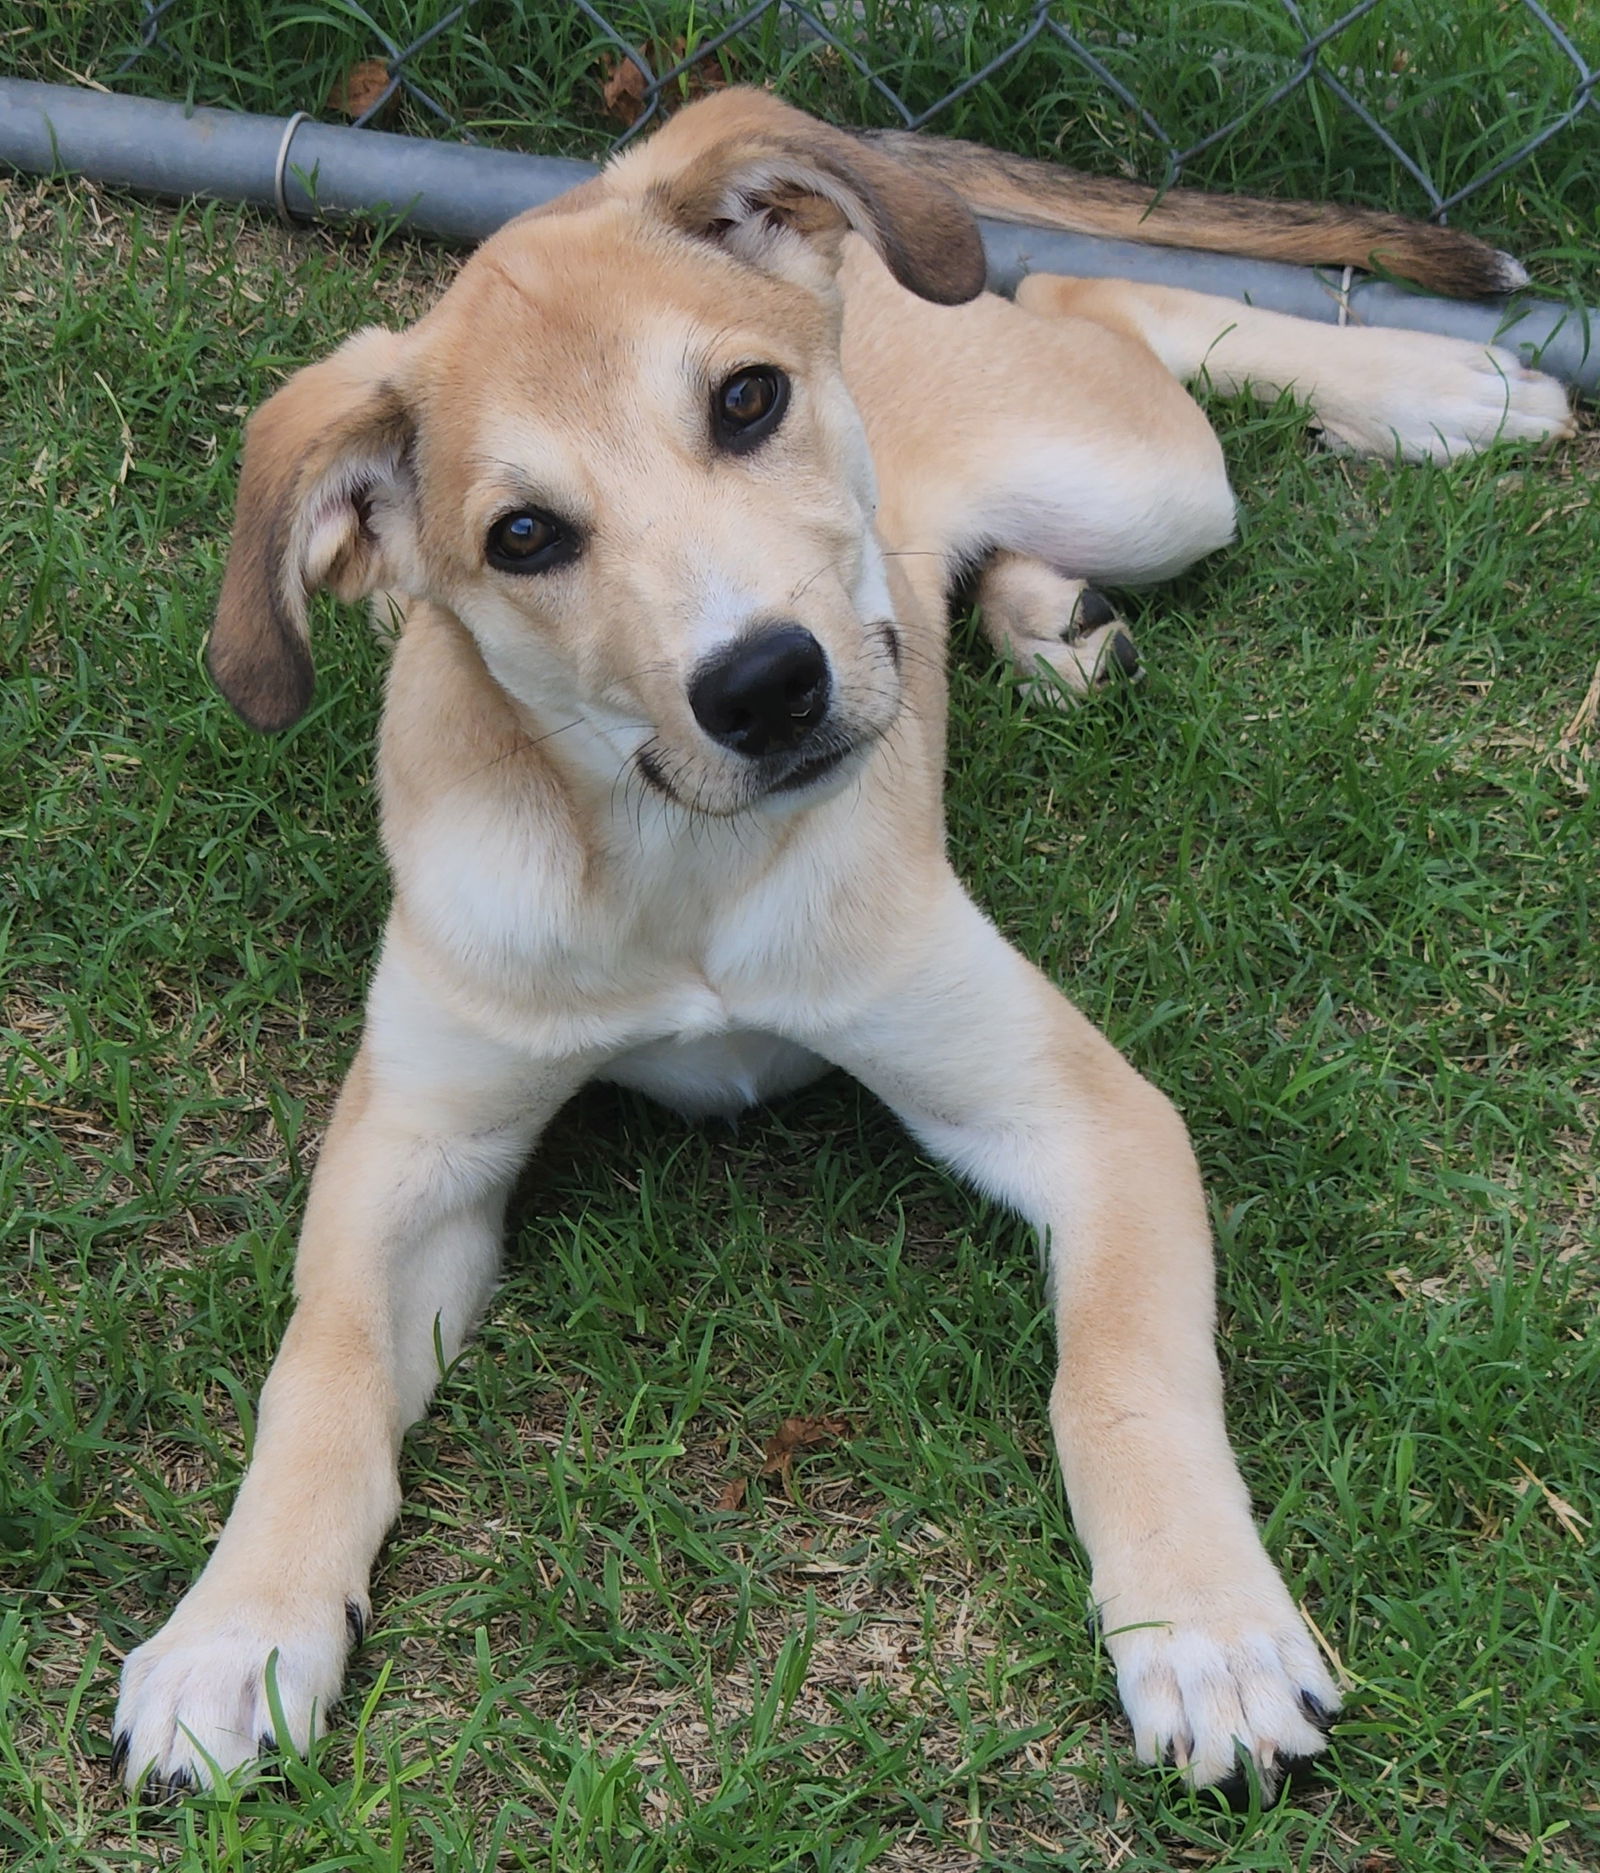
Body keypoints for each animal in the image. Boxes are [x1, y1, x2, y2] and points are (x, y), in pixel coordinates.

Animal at [115, 84, 1581, 1798]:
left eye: (746, 400)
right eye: (526, 535)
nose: (767, 686)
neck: (677, 860)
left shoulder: (1086, 1111)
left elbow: (1122, 1376)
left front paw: (1207, 1629)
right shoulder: (415, 1151)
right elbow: (323, 1366)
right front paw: (238, 1624)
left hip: (1146, 483)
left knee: (1089, 293)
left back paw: (1441, 388)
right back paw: (1046, 617)